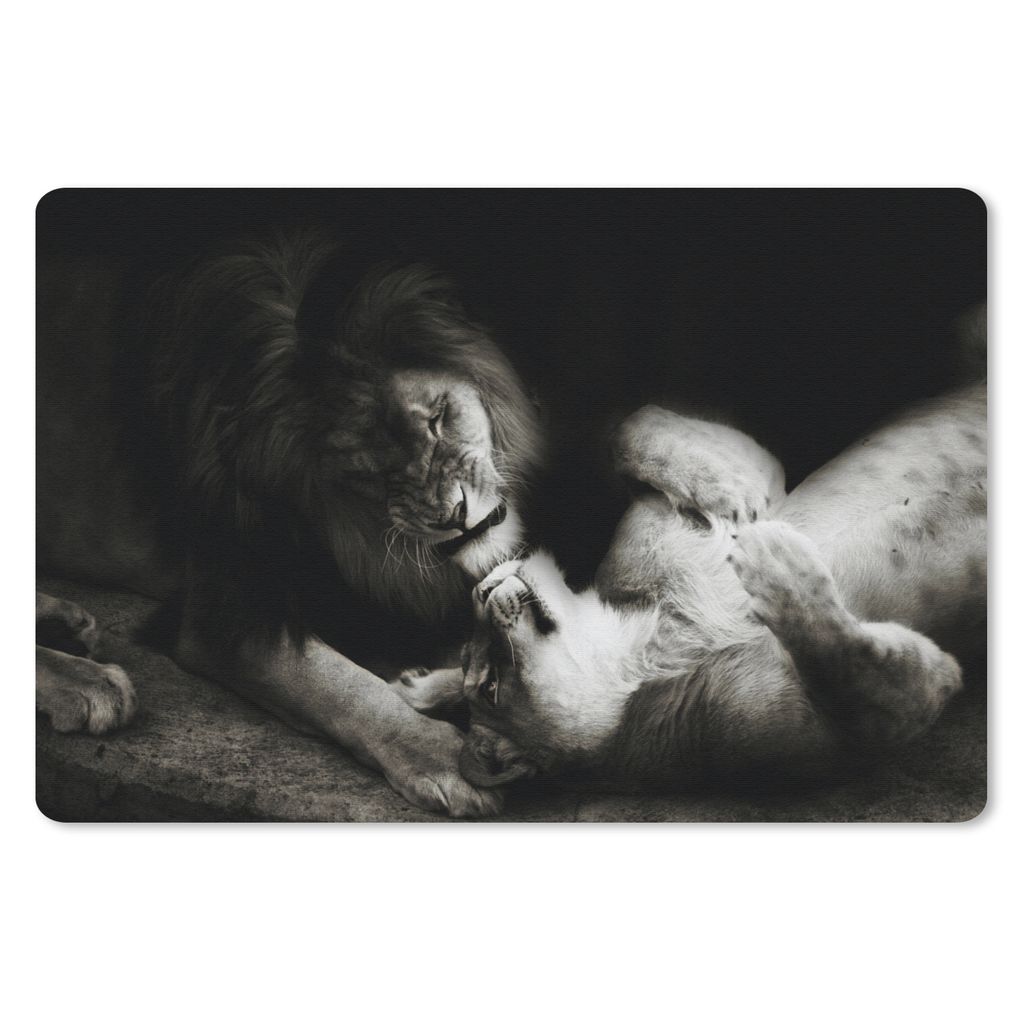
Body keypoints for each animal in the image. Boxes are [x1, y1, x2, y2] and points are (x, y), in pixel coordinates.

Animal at [36, 230, 542, 817]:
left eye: (437, 418)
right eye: (369, 471)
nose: (454, 517)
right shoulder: (227, 611)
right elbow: (342, 686)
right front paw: (442, 757)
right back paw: (87, 682)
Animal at [393, 379, 986, 792]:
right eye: (491, 686)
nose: (479, 591)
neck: (652, 643)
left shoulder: (756, 472)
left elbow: (634, 422)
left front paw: (727, 493)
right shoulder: (878, 720)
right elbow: (845, 656)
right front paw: (774, 559)